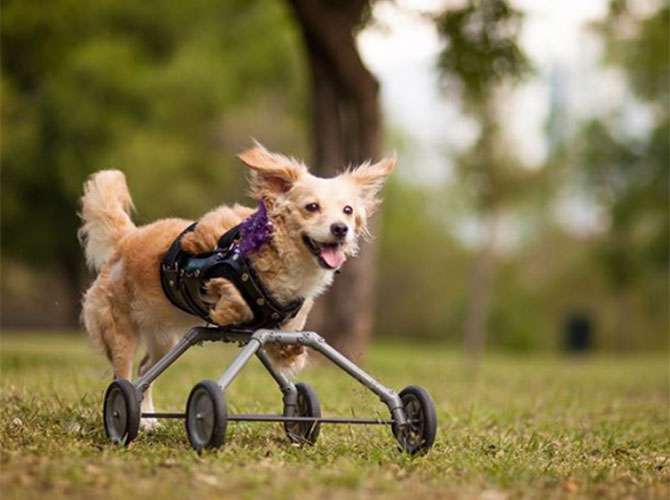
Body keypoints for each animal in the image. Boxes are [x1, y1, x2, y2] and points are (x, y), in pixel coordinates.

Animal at [79, 144, 396, 430]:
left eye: (348, 211)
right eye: (312, 207)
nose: (341, 229)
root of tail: (126, 238)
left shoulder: (292, 316)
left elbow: (288, 335)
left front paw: (290, 353)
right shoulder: (212, 262)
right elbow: (231, 294)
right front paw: (227, 311)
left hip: (164, 336)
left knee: (146, 371)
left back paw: (148, 420)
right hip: (120, 330)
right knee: (123, 377)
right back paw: (126, 414)